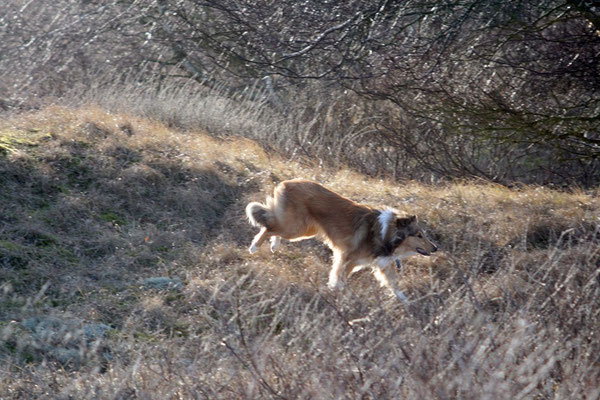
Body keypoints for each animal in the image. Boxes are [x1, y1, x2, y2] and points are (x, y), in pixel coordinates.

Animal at [246, 179, 438, 300]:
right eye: (419, 235)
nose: (435, 248)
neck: (387, 234)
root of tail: (284, 183)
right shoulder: (349, 260)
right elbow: (340, 279)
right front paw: (337, 294)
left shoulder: (381, 265)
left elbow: (395, 286)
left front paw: (408, 303)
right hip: (295, 228)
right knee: (268, 228)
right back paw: (254, 247)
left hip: (304, 230)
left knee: (273, 226)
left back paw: (274, 245)